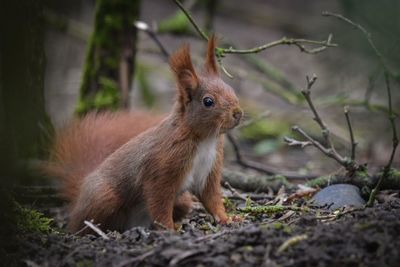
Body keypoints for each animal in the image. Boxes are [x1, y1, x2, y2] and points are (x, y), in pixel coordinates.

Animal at [45, 36, 242, 233]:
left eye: (231, 89)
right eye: (208, 101)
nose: (238, 113)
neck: (205, 140)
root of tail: (81, 191)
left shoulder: (209, 170)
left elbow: (211, 198)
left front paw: (228, 218)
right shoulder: (162, 169)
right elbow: (159, 203)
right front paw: (169, 229)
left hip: (183, 201)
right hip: (104, 197)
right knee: (81, 222)